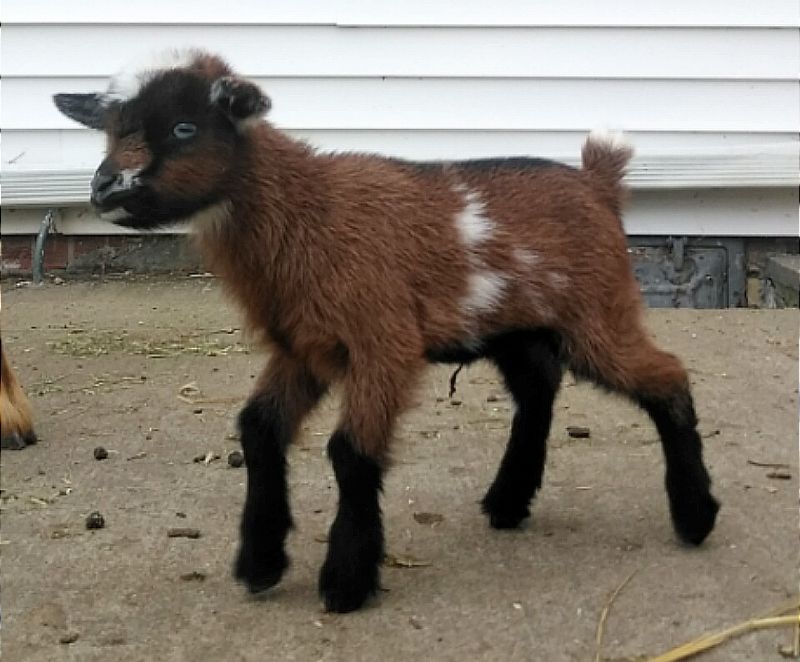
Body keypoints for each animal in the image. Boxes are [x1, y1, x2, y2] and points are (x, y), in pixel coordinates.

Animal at [54, 50, 719, 613]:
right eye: (111, 129)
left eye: (185, 128)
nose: (104, 189)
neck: (306, 210)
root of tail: (598, 183)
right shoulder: (304, 349)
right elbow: (259, 429)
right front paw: (261, 563)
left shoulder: (384, 342)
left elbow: (351, 453)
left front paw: (346, 581)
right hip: (515, 326)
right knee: (538, 388)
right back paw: (508, 502)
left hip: (598, 311)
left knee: (666, 377)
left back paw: (695, 517)